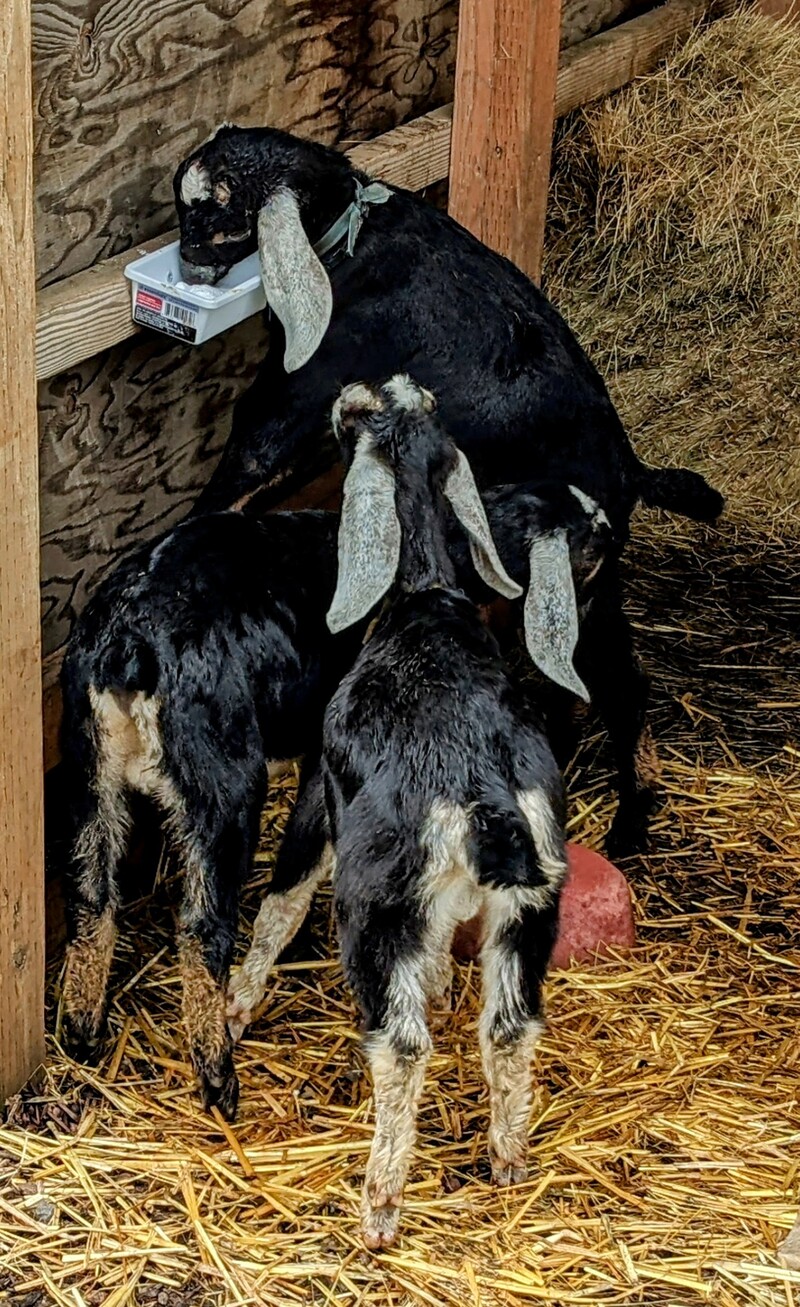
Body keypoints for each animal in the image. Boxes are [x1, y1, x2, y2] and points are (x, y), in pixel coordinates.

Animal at [171, 117, 721, 535]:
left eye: (227, 222)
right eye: (182, 205)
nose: (188, 263)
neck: (351, 236)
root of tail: (631, 471)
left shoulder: (303, 381)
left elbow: (254, 451)